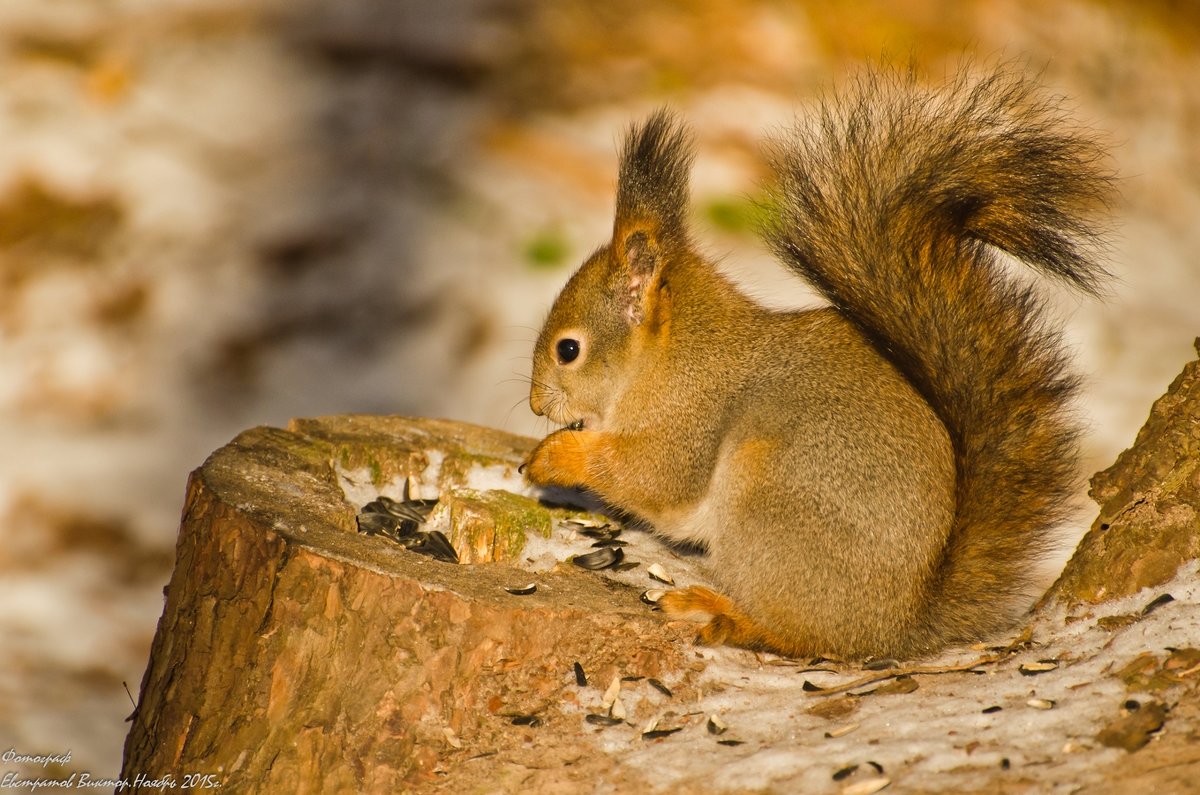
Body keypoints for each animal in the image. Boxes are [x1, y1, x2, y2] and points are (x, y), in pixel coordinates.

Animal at [520, 63, 1108, 658]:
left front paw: (555, 457)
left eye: (568, 350)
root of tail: (894, 626)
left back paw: (721, 612)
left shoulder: (688, 424)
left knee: (796, 633)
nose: (535, 405)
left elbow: (650, 477)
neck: (670, 357)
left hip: (768, 502)